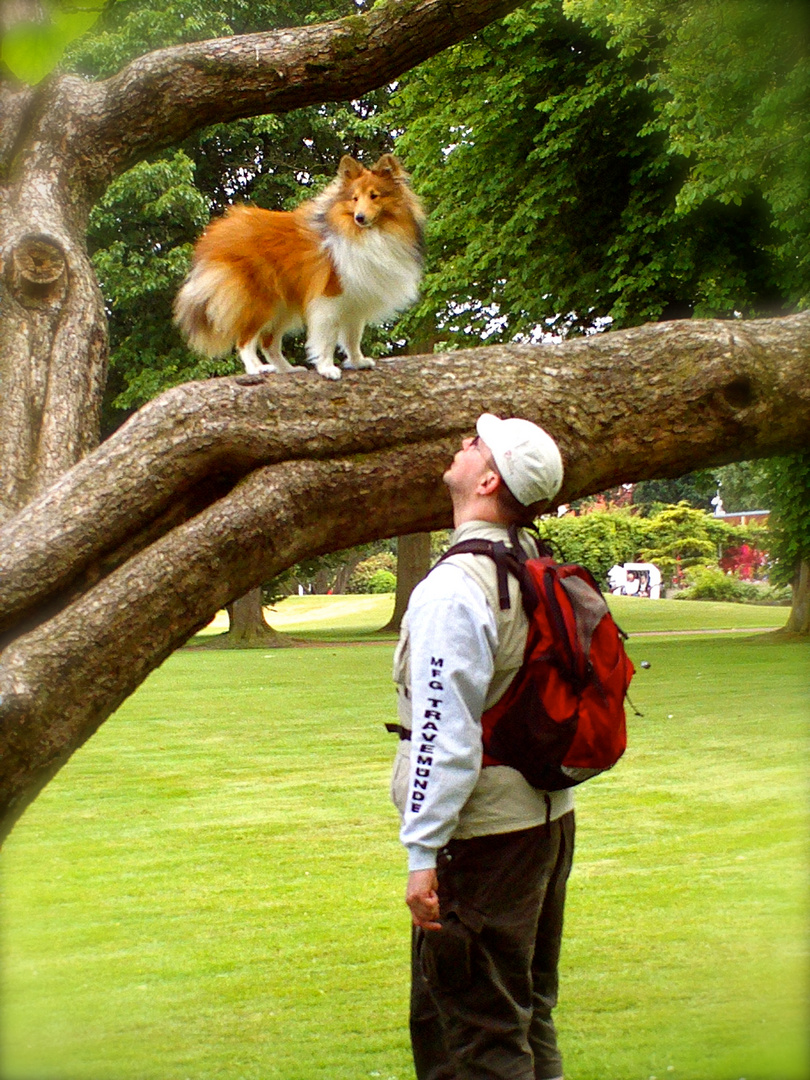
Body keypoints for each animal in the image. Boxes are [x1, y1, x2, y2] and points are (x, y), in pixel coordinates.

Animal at [174, 155, 427, 380]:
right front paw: (327, 369)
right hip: (259, 301)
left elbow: (353, 337)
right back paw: (257, 369)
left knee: (269, 343)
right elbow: (327, 339)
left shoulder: (356, 300)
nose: (360, 218)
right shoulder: (329, 299)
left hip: (282, 306)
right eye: (354, 198)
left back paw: (287, 369)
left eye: (374, 196)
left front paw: (357, 362)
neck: (368, 234)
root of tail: (215, 235)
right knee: (245, 341)